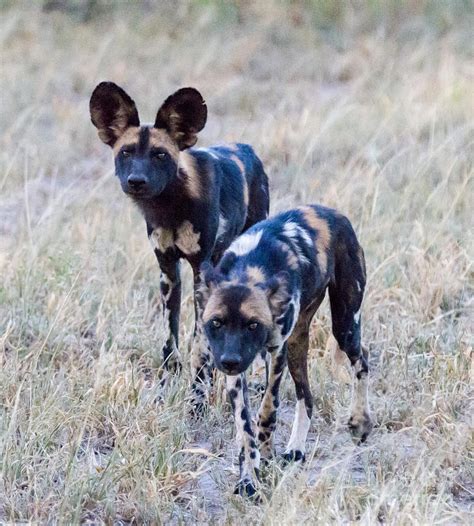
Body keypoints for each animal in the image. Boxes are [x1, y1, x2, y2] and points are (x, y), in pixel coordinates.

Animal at [88, 82, 266, 406]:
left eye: (160, 155)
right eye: (126, 153)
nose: (136, 181)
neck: (170, 206)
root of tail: (246, 148)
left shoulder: (200, 275)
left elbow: (199, 345)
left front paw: (198, 398)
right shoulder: (168, 272)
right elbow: (169, 340)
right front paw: (166, 386)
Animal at [198, 204, 372, 498]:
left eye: (253, 325)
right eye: (216, 323)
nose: (230, 360)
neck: (250, 269)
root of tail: (334, 213)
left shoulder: (276, 347)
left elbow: (267, 411)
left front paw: (266, 456)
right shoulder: (236, 371)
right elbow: (245, 429)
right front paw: (249, 478)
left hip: (344, 327)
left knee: (362, 362)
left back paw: (360, 421)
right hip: (297, 343)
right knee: (307, 397)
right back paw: (296, 449)